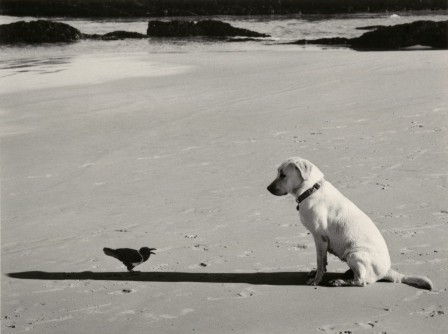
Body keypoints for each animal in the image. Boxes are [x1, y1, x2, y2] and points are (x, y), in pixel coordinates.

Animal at [268, 157, 432, 290]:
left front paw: (316, 280)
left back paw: (340, 281)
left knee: (361, 281)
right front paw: (316, 273)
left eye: (283, 175)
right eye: (278, 173)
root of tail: (387, 271)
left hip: (354, 254)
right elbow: (323, 262)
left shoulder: (320, 237)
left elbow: (320, 261)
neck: (311, 189)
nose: (268, 188)